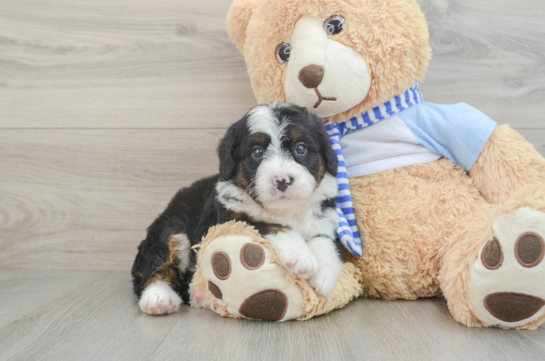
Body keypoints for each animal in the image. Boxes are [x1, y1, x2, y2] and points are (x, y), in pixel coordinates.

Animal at [131, 102, 340, 314]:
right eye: (257, 152)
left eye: (300, 148)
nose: (282, 180)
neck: (285, 211)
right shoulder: (230, 220)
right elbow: (269, 225)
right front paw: (300, 256)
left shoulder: (325, 218)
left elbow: (324, 239)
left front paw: (324, 274)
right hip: (171, 228)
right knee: (158, 266)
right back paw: (159, 298)